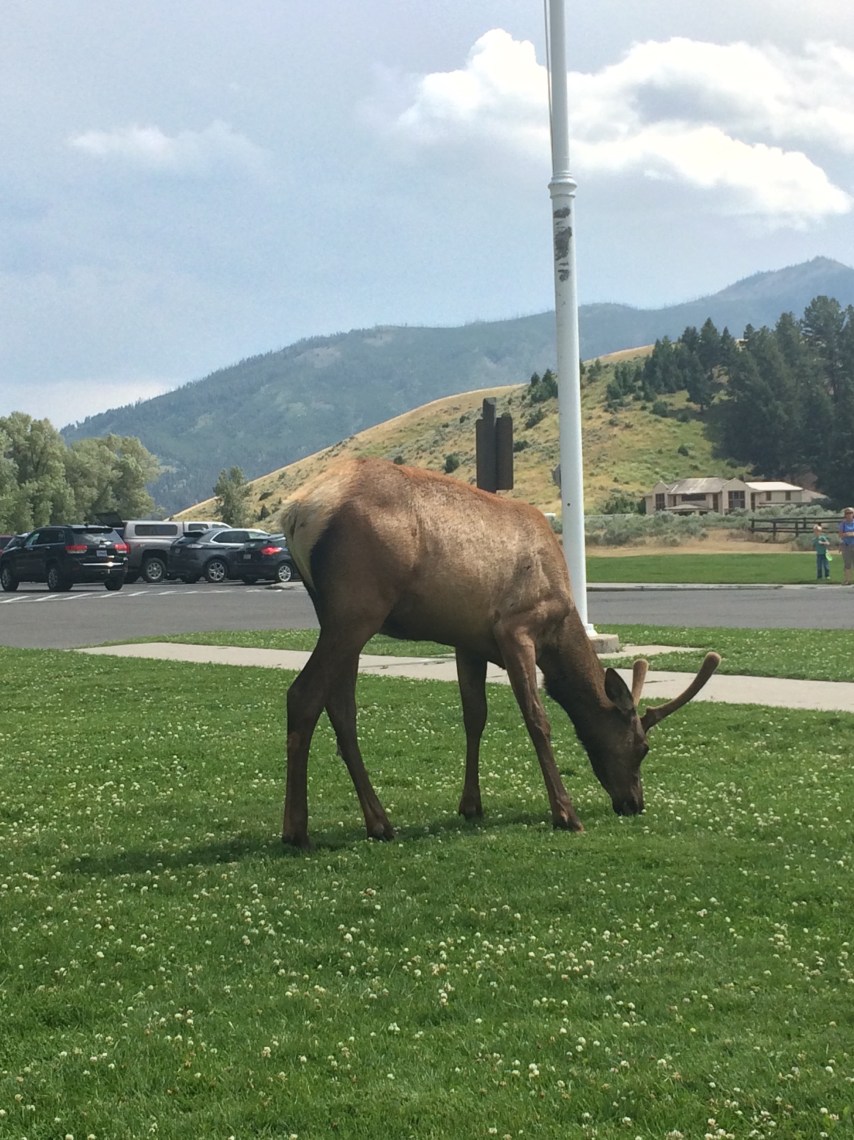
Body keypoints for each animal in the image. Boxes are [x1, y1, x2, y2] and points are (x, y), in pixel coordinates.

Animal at [279, 457, 720, 848]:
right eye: (643, 748)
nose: (634, 803)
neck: (559, 631)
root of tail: (295, 511)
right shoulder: (516, 628)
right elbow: (537, 718)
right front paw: (565, 813)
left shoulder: (468, 642)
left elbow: (474, 717)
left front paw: (471, 805)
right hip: (357, 609)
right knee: (303, 695)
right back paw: (296, 831)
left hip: (339, 616)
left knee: (341, 708)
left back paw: (379, 823)